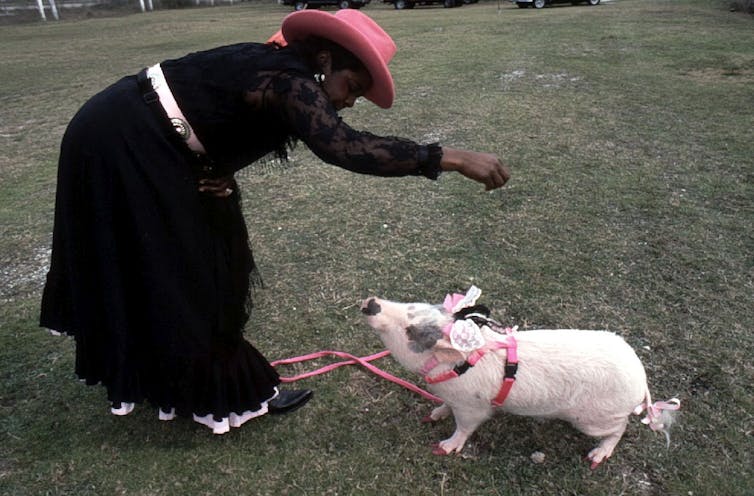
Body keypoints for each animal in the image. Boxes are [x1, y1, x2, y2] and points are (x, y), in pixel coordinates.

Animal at [358, 286, 676, 468]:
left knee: (619, 429)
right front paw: (433, 415)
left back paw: (595, 458)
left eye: (412, 332)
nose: (370, 302)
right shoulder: (453, 397)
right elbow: (444, 408)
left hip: (595, 419)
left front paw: (445, 447)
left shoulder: (473, 407)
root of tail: (641, 379)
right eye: (411, 306)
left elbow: (465, 428)